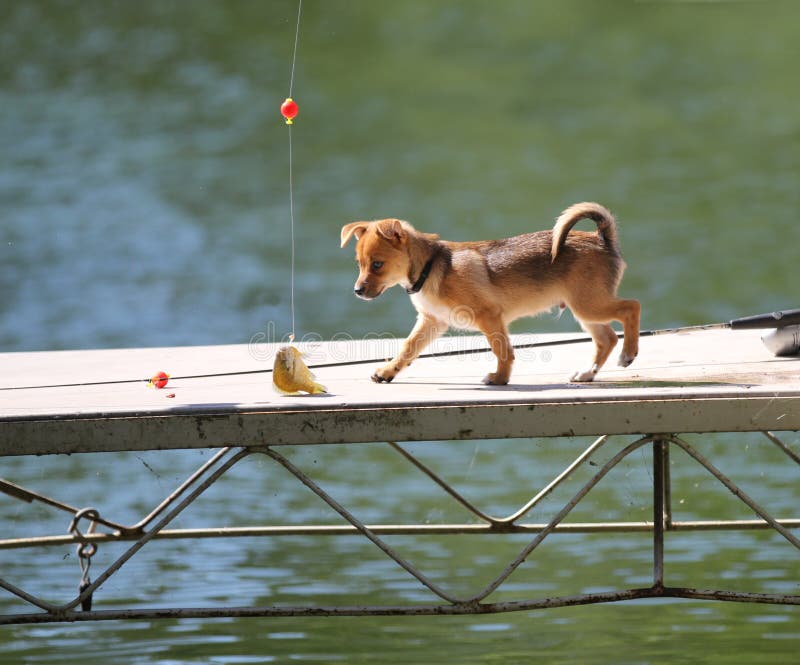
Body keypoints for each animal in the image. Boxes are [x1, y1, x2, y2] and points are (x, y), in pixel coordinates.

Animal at [340, 202, 640, 384]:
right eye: (359, 264)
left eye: (377, 265)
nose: (357, 291)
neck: (431, 268)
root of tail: (602, 239)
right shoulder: (432, 322)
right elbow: (408, 348)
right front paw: (387, 371)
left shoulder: (489, 317)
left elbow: (502, 350)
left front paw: (499, 379)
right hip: (585, 309)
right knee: (607, 338)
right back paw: (587, 373)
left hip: (588, 305)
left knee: (631, 307)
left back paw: (628, 353)